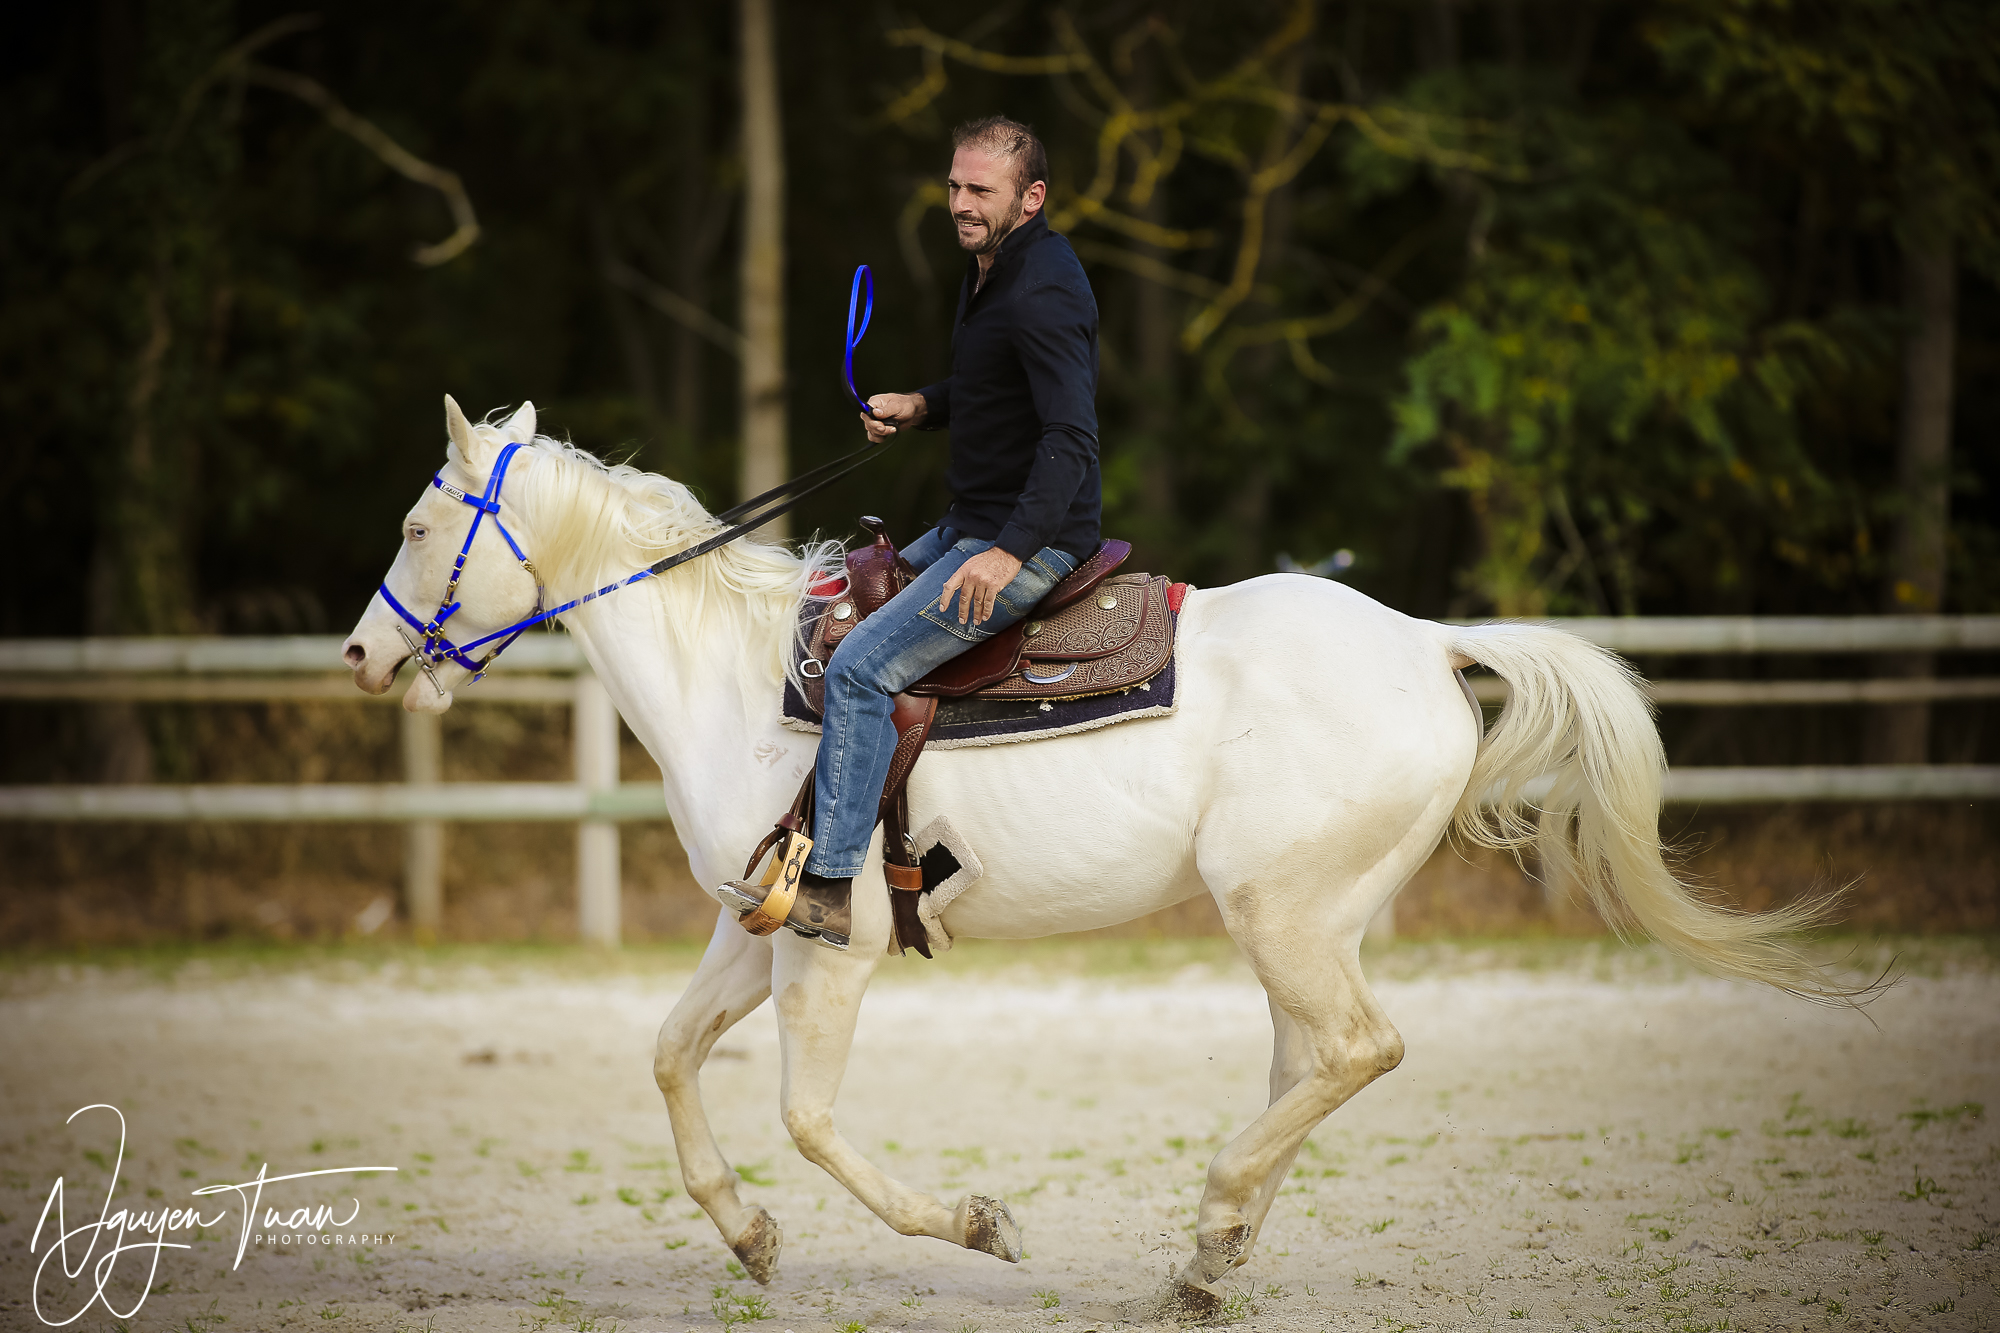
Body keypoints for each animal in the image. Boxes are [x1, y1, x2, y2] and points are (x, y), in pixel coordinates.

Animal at [341, 398, 1854, 1316]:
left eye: (418, 526)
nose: (360, 653)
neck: (740, 678)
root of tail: (1427, 640)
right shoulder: (750, 923)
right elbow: (666, 1055)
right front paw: (746, 1233)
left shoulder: (834, 946)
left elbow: (811, 1119)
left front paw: (976, 1224)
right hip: (1309, 922)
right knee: (1311, 1062)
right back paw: (1210, 1262)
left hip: (1279, 913)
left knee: (1358, 1050)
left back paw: (1216, 1219)